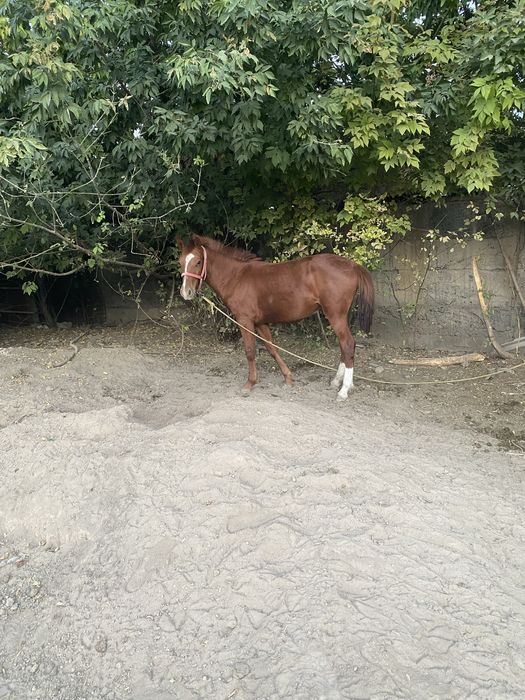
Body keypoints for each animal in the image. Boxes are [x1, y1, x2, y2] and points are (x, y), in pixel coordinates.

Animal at [177, 235, 374, 400]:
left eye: (198, 261)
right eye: (180, 262)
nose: (186, 293)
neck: (237, 277)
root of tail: (353, 265)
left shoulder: (245, 321)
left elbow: (250, 351)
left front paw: (250, 383)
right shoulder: (260, 323)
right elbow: (272, 348)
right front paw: (288, 378)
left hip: (335, 315)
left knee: (347, 344)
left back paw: (344, 390)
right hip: (339, 317)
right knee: (345, 346)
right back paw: (337, 382)